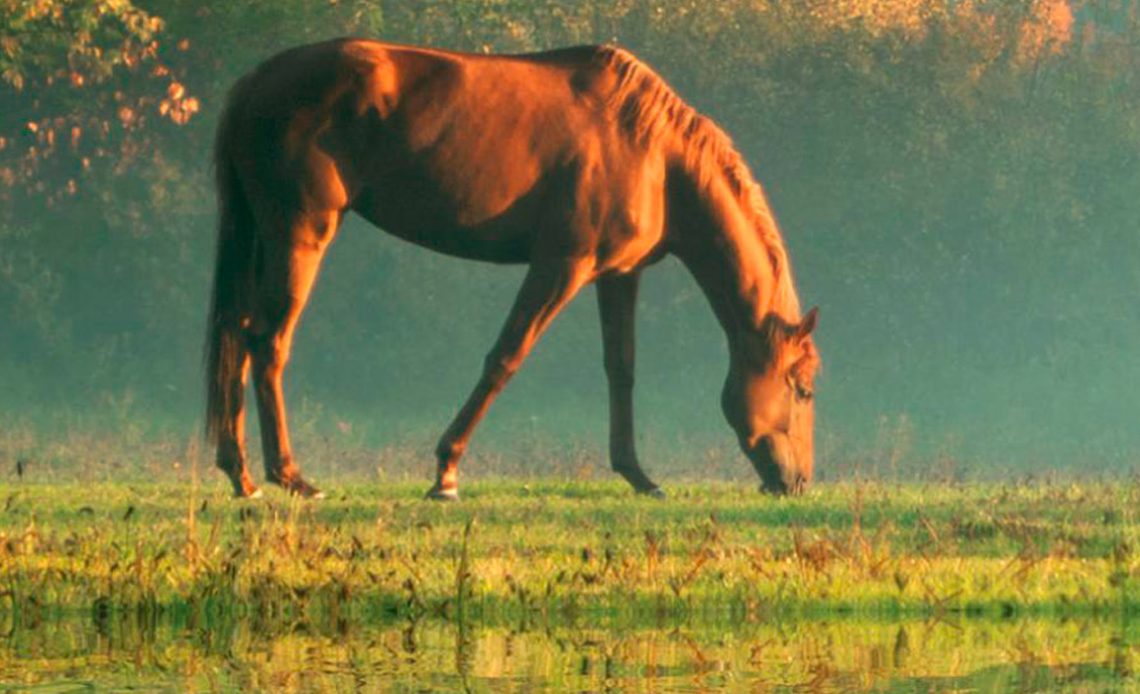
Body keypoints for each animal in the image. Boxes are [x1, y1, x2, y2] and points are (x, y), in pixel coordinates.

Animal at [205, 37, 820, 496]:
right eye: (802, 388)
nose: (797, 482)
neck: (655, 155)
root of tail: (256, 81)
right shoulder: (561, 266)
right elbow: (506, 357)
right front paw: (446, 472)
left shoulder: (618, 276)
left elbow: (620, 369)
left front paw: (639, 476)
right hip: (301, 234)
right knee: (269, 341)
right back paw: (290, 477)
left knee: (239, 335)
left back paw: (240, 474)